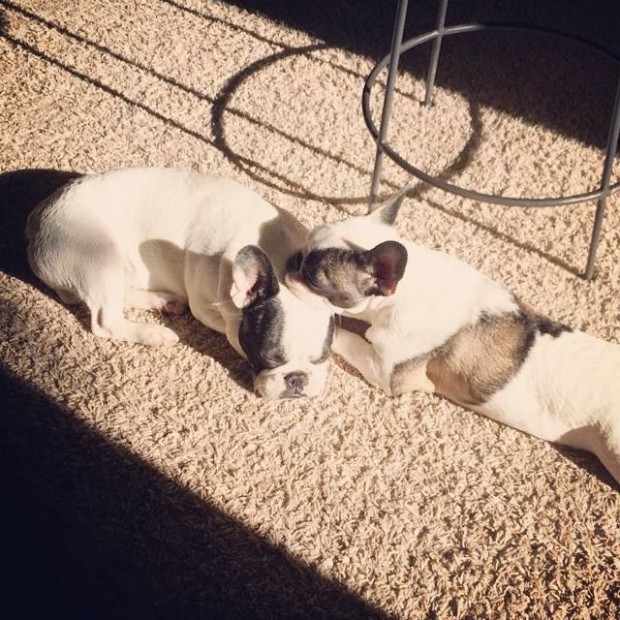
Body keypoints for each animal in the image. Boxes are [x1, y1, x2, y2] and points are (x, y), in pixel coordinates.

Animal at [26, 167, 334, 400]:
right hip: (99, 256)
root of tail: (35, 222)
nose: (297, 379)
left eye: (321, 358)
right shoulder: (206, 306)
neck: (281, 260)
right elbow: (228, 323)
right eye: (269, 357)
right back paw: (154, 333)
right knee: (105, 320)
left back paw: (165, 301)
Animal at [286, 193, 620, 484]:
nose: (291, 260)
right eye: (303, 246)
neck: (410, 284)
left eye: (313, 278)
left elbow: (345, 337)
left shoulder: (385, 371)